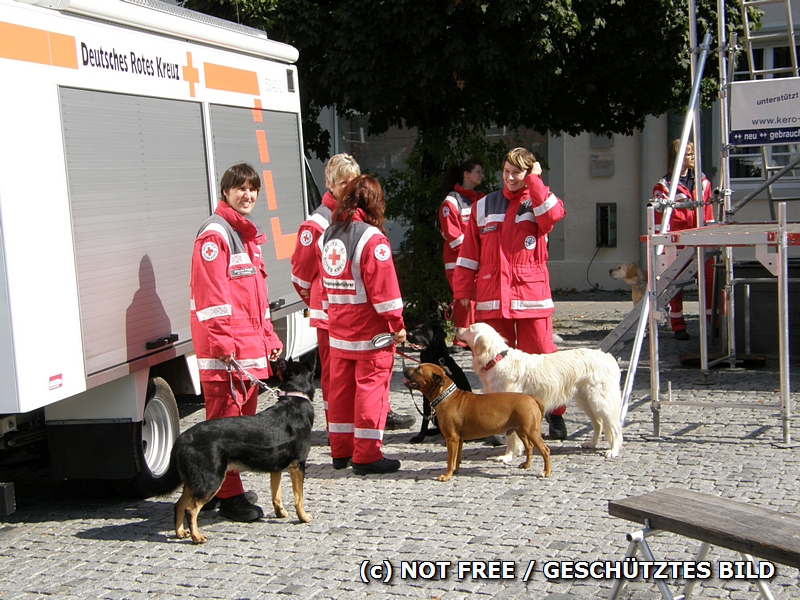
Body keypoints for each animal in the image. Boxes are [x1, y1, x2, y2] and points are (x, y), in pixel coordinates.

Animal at [170, 354, 316, 548]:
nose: (276, 358)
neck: (295, 398)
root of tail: (183, 438)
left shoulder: (276, 468)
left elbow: (276, 495)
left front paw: (280, 513)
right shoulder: (298, 465)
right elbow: (298, 499)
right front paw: (303, 517)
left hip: (195, 482)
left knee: (179, 505)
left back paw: (180, 532)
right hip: (211, 480)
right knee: (190, 509)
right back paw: (197, 537)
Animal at [400, 360, 552, 482]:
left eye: (418, 370)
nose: (404, 369)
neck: (445, 395)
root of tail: (531, 397)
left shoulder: (451, 438)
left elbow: (450, 460)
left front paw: (447, 475)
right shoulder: (459, 439)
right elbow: (457, 458)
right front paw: (455, 471)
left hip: (532, 431)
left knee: (545, 450)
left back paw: (546, 472)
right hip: (521, 430)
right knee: (529, 447)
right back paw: (526, 465)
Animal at [456, 324, 624, 460]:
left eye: (470, 328)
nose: (457, 328)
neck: (496, 359)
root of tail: (608, 357)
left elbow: (511, 438)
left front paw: (507, 457)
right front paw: (515, 453)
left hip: (601, 401)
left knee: (615, 428)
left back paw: (613, 451)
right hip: (586, 401)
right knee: (599, 424)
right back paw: (591, 444)